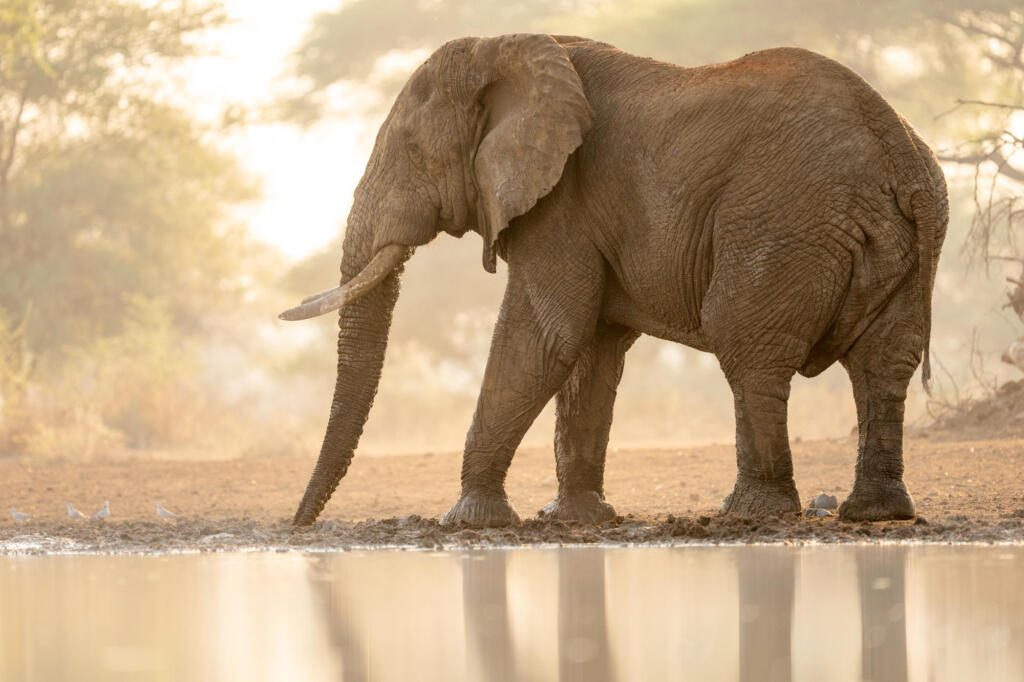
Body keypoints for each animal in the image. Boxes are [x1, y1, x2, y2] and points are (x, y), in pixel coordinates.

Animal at [281, 34, 948, 528]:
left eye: (411, 149)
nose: (298, 525)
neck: (506, 47)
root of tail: (898, 152)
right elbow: (591, 349)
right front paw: (574, 519)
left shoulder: (562, 198)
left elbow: (546, 336)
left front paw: (467, 521)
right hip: (908, 236)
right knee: (884, 362)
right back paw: (875, 514)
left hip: (783, 220)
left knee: (748, 347)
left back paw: (749, 515)